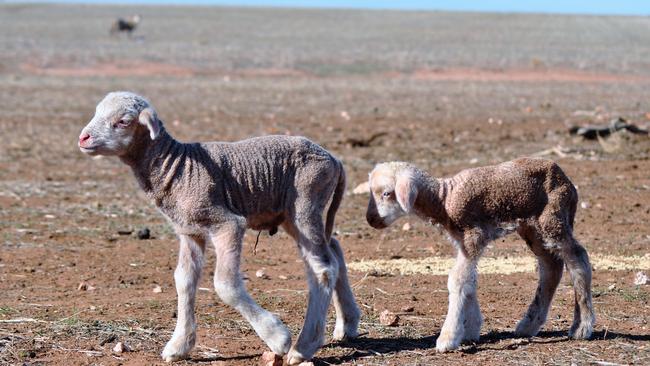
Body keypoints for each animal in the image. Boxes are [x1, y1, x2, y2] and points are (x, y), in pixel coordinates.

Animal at [78, 91, 360, 364]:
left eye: (123, 121)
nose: (83, 138)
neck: (176, 166)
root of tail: (334, 160)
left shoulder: (226, 223)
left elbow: (225, 285)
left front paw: (277, 337)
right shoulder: (189, 232)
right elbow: (184, 281)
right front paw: (179, 346)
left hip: (306, 202)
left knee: (323, 269)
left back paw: (303, 347)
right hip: (293, 214)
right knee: (334, 250)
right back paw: (347, 324)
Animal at [364, 159, 592, 354]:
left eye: (387, 193)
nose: (371, 219)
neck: (444, 198)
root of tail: (566, 180)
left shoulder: (473, 236)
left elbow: (457, 280)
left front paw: (448, 337)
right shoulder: (463, 242)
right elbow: (469, 281)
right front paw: (470, 329)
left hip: (554, 219)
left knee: (578, 259)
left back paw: (582, 327)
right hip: (532, 228)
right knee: (551, 267)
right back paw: (528, 325)